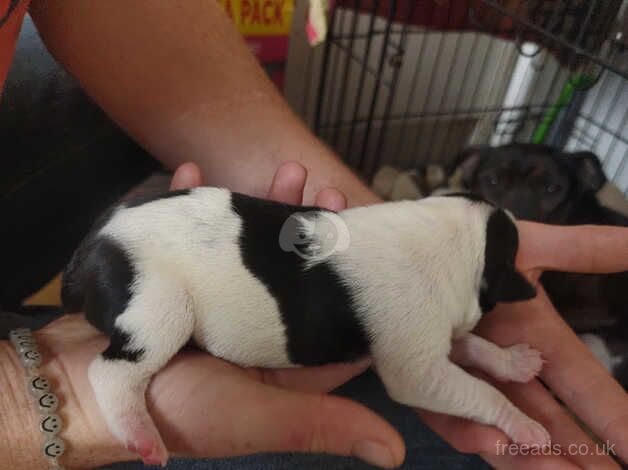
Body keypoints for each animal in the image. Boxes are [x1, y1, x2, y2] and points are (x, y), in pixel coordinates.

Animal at [62, 188, 544, 466]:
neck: (449, 238)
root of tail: (87, 249)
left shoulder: (432, 334)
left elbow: (474, 347)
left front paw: (513, 361)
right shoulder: (417, 365)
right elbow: (478, 390)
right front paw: (523, 423)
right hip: (162, 304)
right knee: (110, 371)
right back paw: (140, 433)